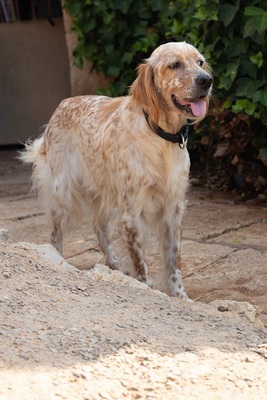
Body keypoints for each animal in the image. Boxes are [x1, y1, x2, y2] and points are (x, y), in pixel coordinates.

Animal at [21, 43, 214, 300]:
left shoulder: (173, 209)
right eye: (174, 64)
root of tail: (62, 104)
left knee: (99, 228)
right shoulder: (131, 213)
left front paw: (180, 297)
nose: (207, 81)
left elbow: (174, 263)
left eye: (200, 62)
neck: (161, 138)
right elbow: (141, 264)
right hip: (63, 193)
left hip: (103, 193)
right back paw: (57, 259)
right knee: (55, 233)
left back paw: (113, 265)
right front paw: (146, 288)